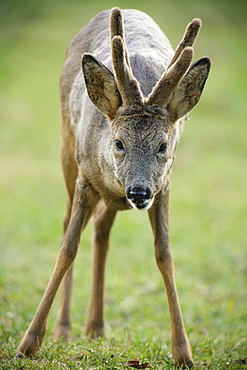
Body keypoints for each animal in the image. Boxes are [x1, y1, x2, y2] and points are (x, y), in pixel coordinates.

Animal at [16, 6, 210, 368]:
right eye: (119, 142)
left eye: (163, 145)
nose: (138, 192)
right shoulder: (86, 178)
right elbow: (67, 248)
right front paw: (28, 344)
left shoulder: (164, 185)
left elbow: (164, 253)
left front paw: (184, 352)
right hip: (66, 148)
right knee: (68, 224)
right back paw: (65, 328)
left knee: (102, 229)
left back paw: (95, 327)